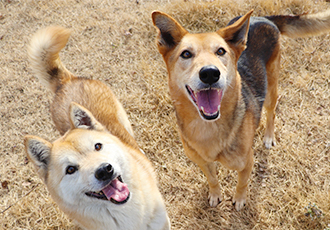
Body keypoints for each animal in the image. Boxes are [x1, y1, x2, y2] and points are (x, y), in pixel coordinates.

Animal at [153, 9, 330, 210]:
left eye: (220, 51)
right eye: (186, 54)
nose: (210, 73)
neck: (208, 127)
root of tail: (261, 18)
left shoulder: (246, 162)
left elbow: (242, 183)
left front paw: (239, 200)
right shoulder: (202, 163)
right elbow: (212, 179)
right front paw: (215, 194)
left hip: (271, 88)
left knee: (271, 112)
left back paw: (269, 137)